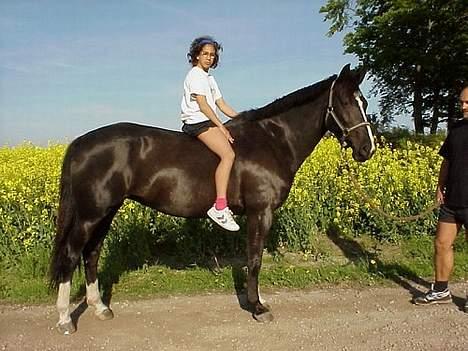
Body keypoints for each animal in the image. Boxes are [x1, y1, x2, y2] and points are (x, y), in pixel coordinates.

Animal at [49, 64, 374, 336]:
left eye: (365, 103)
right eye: (346, 103)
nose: (367, 149)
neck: (273, 141)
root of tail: (80, 143)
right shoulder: (260, 212)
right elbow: (254, 260)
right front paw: (258, 308)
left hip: (106, 212)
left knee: (91, 254)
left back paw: (100, 308)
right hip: (91, 214)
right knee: (71, 255)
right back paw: (65, 319)